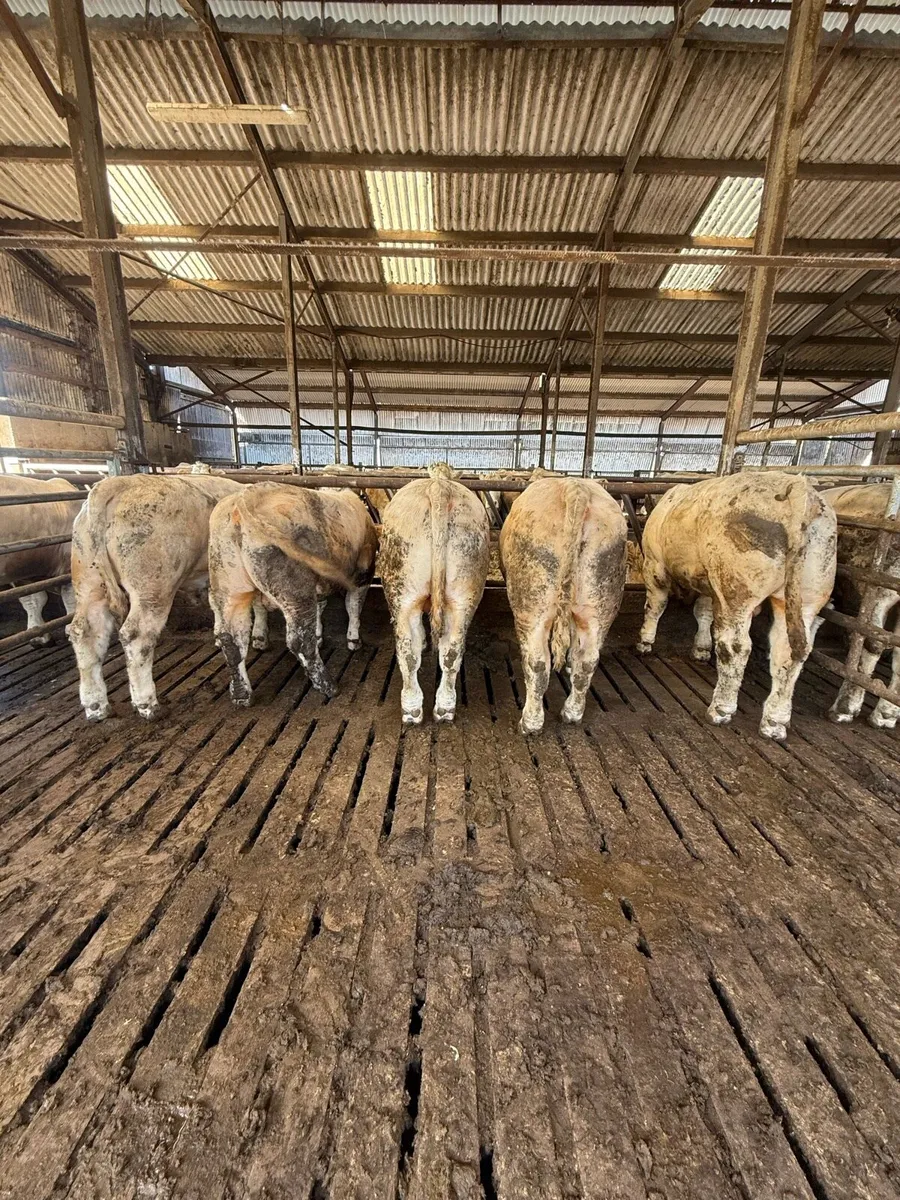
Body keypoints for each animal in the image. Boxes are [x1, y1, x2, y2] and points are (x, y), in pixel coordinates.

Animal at [68, 473, 268, 721]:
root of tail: (116, 483)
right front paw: (260, 637)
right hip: (153, 588)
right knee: (136, 636)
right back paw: (147, 705)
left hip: (89, 583)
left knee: (84, 633)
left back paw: (95, 705)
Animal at [208, 483, 378, 706]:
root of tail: (244, 498)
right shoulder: (363, 576)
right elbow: (354, 607)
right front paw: (354, 641)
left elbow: (321, 607)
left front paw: (320, 635)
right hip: (295, 592)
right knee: (299, 641)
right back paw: (328, 686)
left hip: (229, 587)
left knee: (231, 640)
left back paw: (241, 694)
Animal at [378, 463, 490, 724]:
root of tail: (439, 487)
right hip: (464, 595)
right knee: (452, 652)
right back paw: (444, 708)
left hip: (401, 596)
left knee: (407, 651)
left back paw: (411, 710)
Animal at [500, 475, 627, 734]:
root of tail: (575, 487)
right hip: (600, 605)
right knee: (588, 661)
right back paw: (571, 713)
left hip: (532, 607)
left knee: (538, 662)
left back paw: (530, 722)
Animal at [636, 471, 836, 740]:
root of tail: (796, 486)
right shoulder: (709, 583)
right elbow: (703, 612)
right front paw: (701, 648)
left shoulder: (655, 565)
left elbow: (655, 605)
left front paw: (645, 641)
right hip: (806, 596)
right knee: (789, 654)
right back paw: (774, 721)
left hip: (736, 589)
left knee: (736, 647)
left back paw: (721, 708)